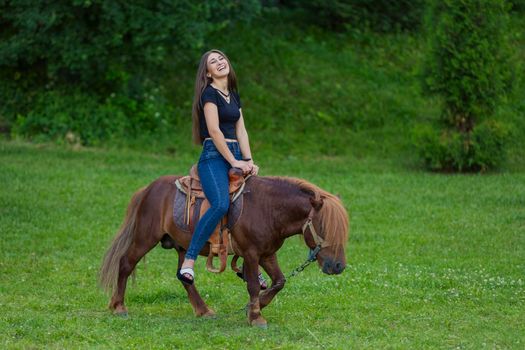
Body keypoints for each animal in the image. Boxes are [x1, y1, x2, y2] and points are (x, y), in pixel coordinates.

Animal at [101, 176, 350, 326]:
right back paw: (119, 306)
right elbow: (252, 284)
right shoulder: (251, 253)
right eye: (324, 227)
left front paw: (258, 305)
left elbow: (279, 281)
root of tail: (149, 189)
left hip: (183, 247)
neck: (268, 209)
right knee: (125, 263)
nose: (338, 266)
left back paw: (203, 310)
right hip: (145, 238)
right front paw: (256, 316)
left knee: (184, 277)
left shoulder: (267, 253)